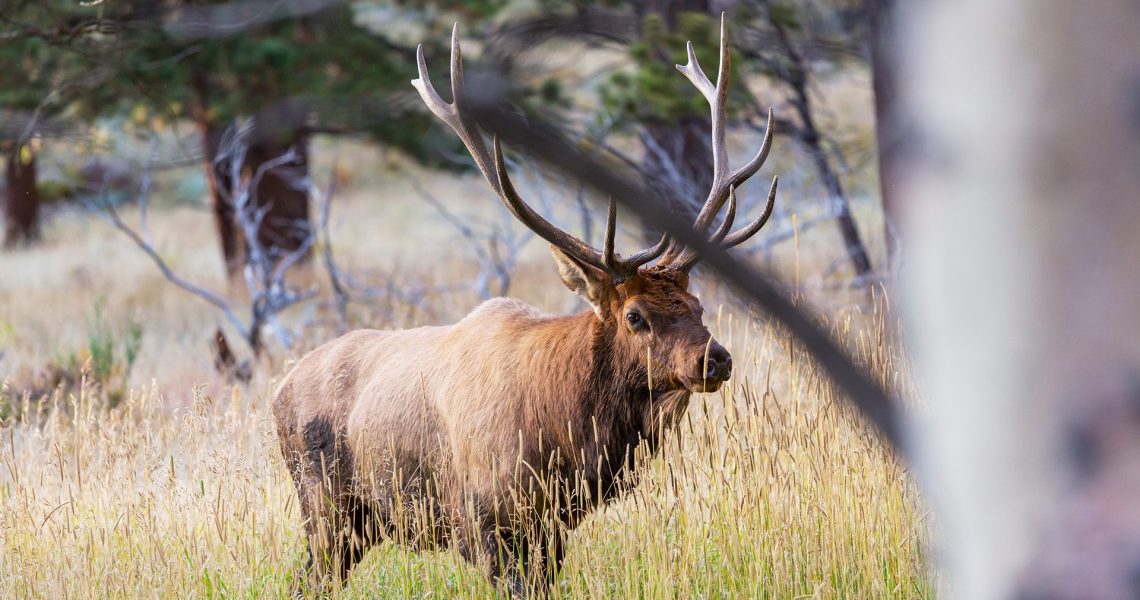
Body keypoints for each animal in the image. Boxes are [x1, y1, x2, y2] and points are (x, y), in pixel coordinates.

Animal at [273, 15, 777, 597]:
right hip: (325, 506)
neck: (567, 434)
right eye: (636, 316)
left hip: (360, 522)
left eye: (697, 305)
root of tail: (277, 391)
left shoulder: (553, 526)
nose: (715, 358)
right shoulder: (482, 519)